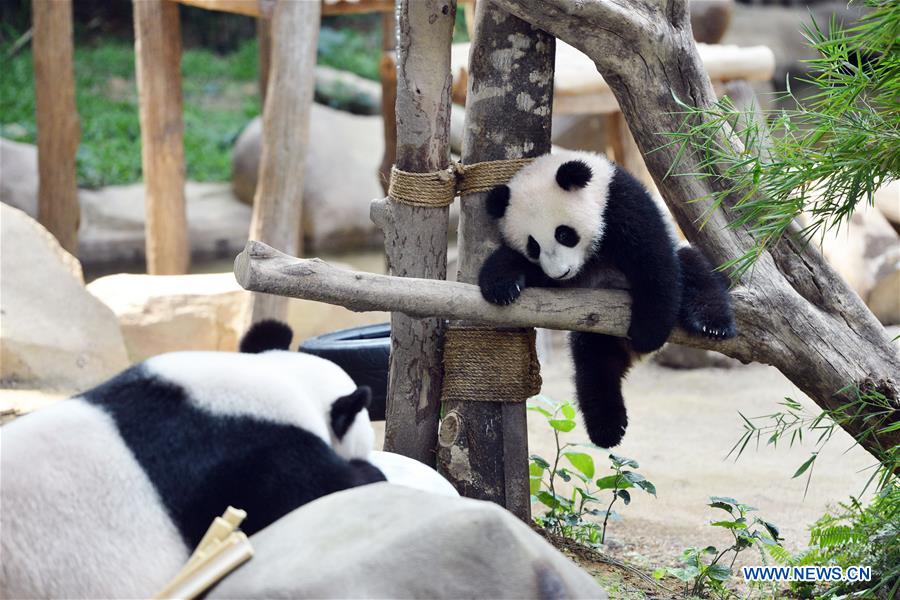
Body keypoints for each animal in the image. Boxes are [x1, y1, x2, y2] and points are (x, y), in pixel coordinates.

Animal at [478, 150, 736, 448]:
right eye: (533, 246)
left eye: (564, 234)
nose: (561, 272)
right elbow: (518, 266)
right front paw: (501, 286)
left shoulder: (621, 204)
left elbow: (654, 264)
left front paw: (647, 333)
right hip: (595, 334)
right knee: (594, 365)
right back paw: (607, 428)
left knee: (694, 270)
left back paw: (711, 325)